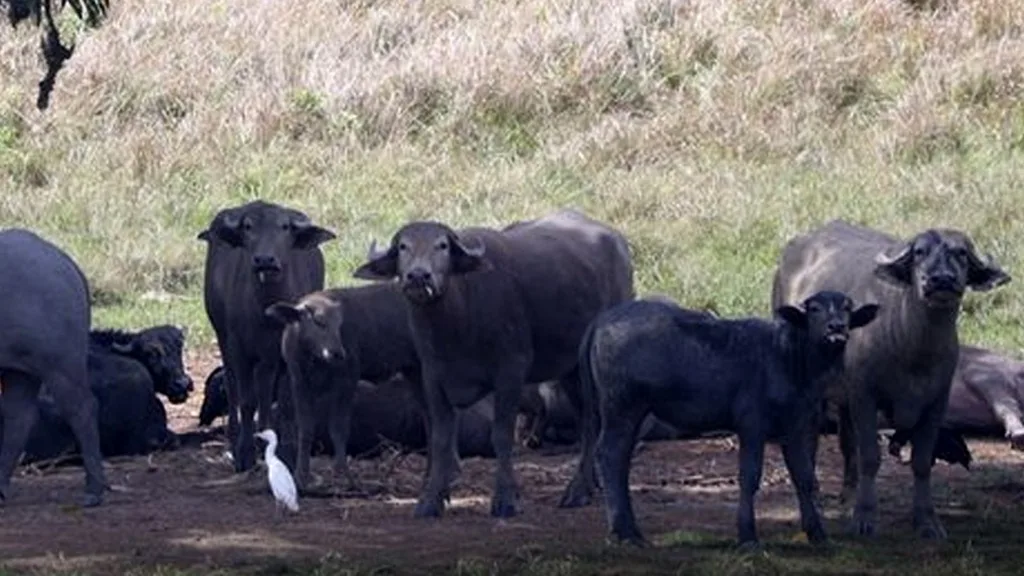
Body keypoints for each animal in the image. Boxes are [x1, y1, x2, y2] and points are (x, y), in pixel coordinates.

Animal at [0, 229, 106, 507]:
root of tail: (63, 261)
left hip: (60, 365)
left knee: (83, 409)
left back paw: (94, 489)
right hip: (20, 372)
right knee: (19, 418)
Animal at [197, 200, 336, 473]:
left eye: (284, 227)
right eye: (248, 227)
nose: (265, 259)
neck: (266, 310)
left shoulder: (286, 352)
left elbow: (284, 401)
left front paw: (287, 453)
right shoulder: (238, 348)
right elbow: (246, 400)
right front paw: (245, 453)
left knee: (264, 387)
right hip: (224, 339)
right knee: (234, 386)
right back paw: (237, 439)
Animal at [353, 209, 635, 518]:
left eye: (442, 245)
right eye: (403, 246)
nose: (418, 276)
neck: (456, 323)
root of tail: (618, 243)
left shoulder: (510, 371)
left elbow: (501, 435)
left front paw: (505, 499)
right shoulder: (432, 377)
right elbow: (440, 437)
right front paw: (431, 500)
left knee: (593, 421)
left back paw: (579, 490)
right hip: (569, 369)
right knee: (587, 419)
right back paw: (589, 484)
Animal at [572, 291, 878, 547]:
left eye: (847, 307)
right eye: (814, 309)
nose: (836, 328)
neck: (787, 357)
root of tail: (602, 320)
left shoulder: (793, 427)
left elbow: (804, 478)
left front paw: (817, 533)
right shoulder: (752, 424)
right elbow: (750, 477)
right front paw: (747, 536)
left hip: (633, 410)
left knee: (620, 458)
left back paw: (630, 529)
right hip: (621, 406)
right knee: (610, 455)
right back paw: (624, 532)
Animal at [771, 220, 1010, 539]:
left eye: (961, 253)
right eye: (920, 252)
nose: (940, 280)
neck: (915, 350)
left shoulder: (936, 402)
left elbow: (922, 462)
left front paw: (927, 521)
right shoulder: (865, 394)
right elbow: (871, 457)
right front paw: (864, 519)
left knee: (846, 439)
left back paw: (849, 493)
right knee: (809, 435)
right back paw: (815, 491)